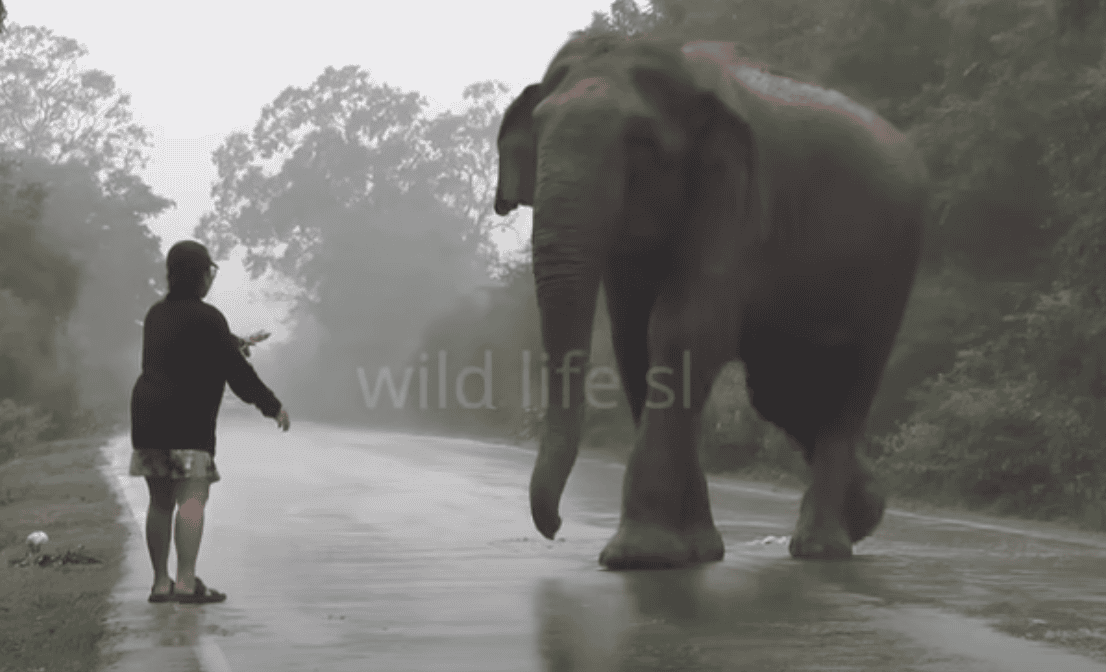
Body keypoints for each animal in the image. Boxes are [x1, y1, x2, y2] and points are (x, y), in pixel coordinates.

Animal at [494, 34, 927, 566]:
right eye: (538, 131)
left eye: (640, 140)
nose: (554, 527)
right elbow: (634, 340)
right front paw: (697, 551)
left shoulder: (737, 196)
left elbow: (687, 328)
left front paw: (638, 555)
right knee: (778, 390)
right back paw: (865, 512)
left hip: (894, 267)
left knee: (852, 380)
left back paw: (821, 547)